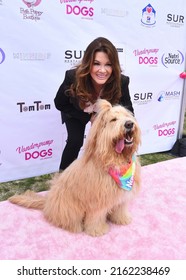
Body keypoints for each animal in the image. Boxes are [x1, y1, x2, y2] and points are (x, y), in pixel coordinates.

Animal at [8, 99, 141, 235]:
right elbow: (96, 217)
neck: (114, 160)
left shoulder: (121, 197)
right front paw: (97, 230)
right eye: (113, 119)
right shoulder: (97, 200)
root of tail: (47, 202)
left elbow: (120, 208)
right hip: (68, 208)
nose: (129, 124)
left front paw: (122, 218)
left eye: (128, 116)